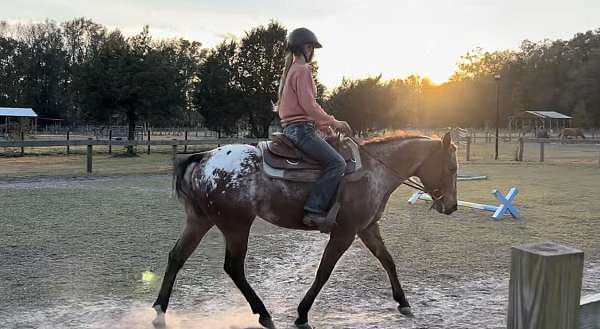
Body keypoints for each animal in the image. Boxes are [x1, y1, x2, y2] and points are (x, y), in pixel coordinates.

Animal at [152, 131, 458, 328]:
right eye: (452, 168)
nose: (452, 206)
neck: (374, 171)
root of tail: (204, 158)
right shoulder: (345, 233)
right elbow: (324, 272)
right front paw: (301, 314)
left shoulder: (367, 228)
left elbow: (388, 261)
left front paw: (403, 302)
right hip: (236, 226)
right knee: (233, 267)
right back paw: (264, 314)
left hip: (200, 221)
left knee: (176, 257)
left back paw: (159, 311)